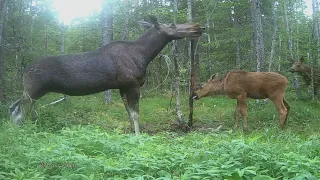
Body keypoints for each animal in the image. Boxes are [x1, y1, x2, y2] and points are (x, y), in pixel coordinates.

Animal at [10, 15, 205, 135]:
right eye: (172, 25)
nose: (198, 27)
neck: (144, 55)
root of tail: (24, 70)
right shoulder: (132, 84)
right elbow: (136, 114)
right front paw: (138, 136)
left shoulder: (122, 87)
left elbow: (129, 114)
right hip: (33, 90)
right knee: (19, 113)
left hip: (31, 92)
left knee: (13, 108)